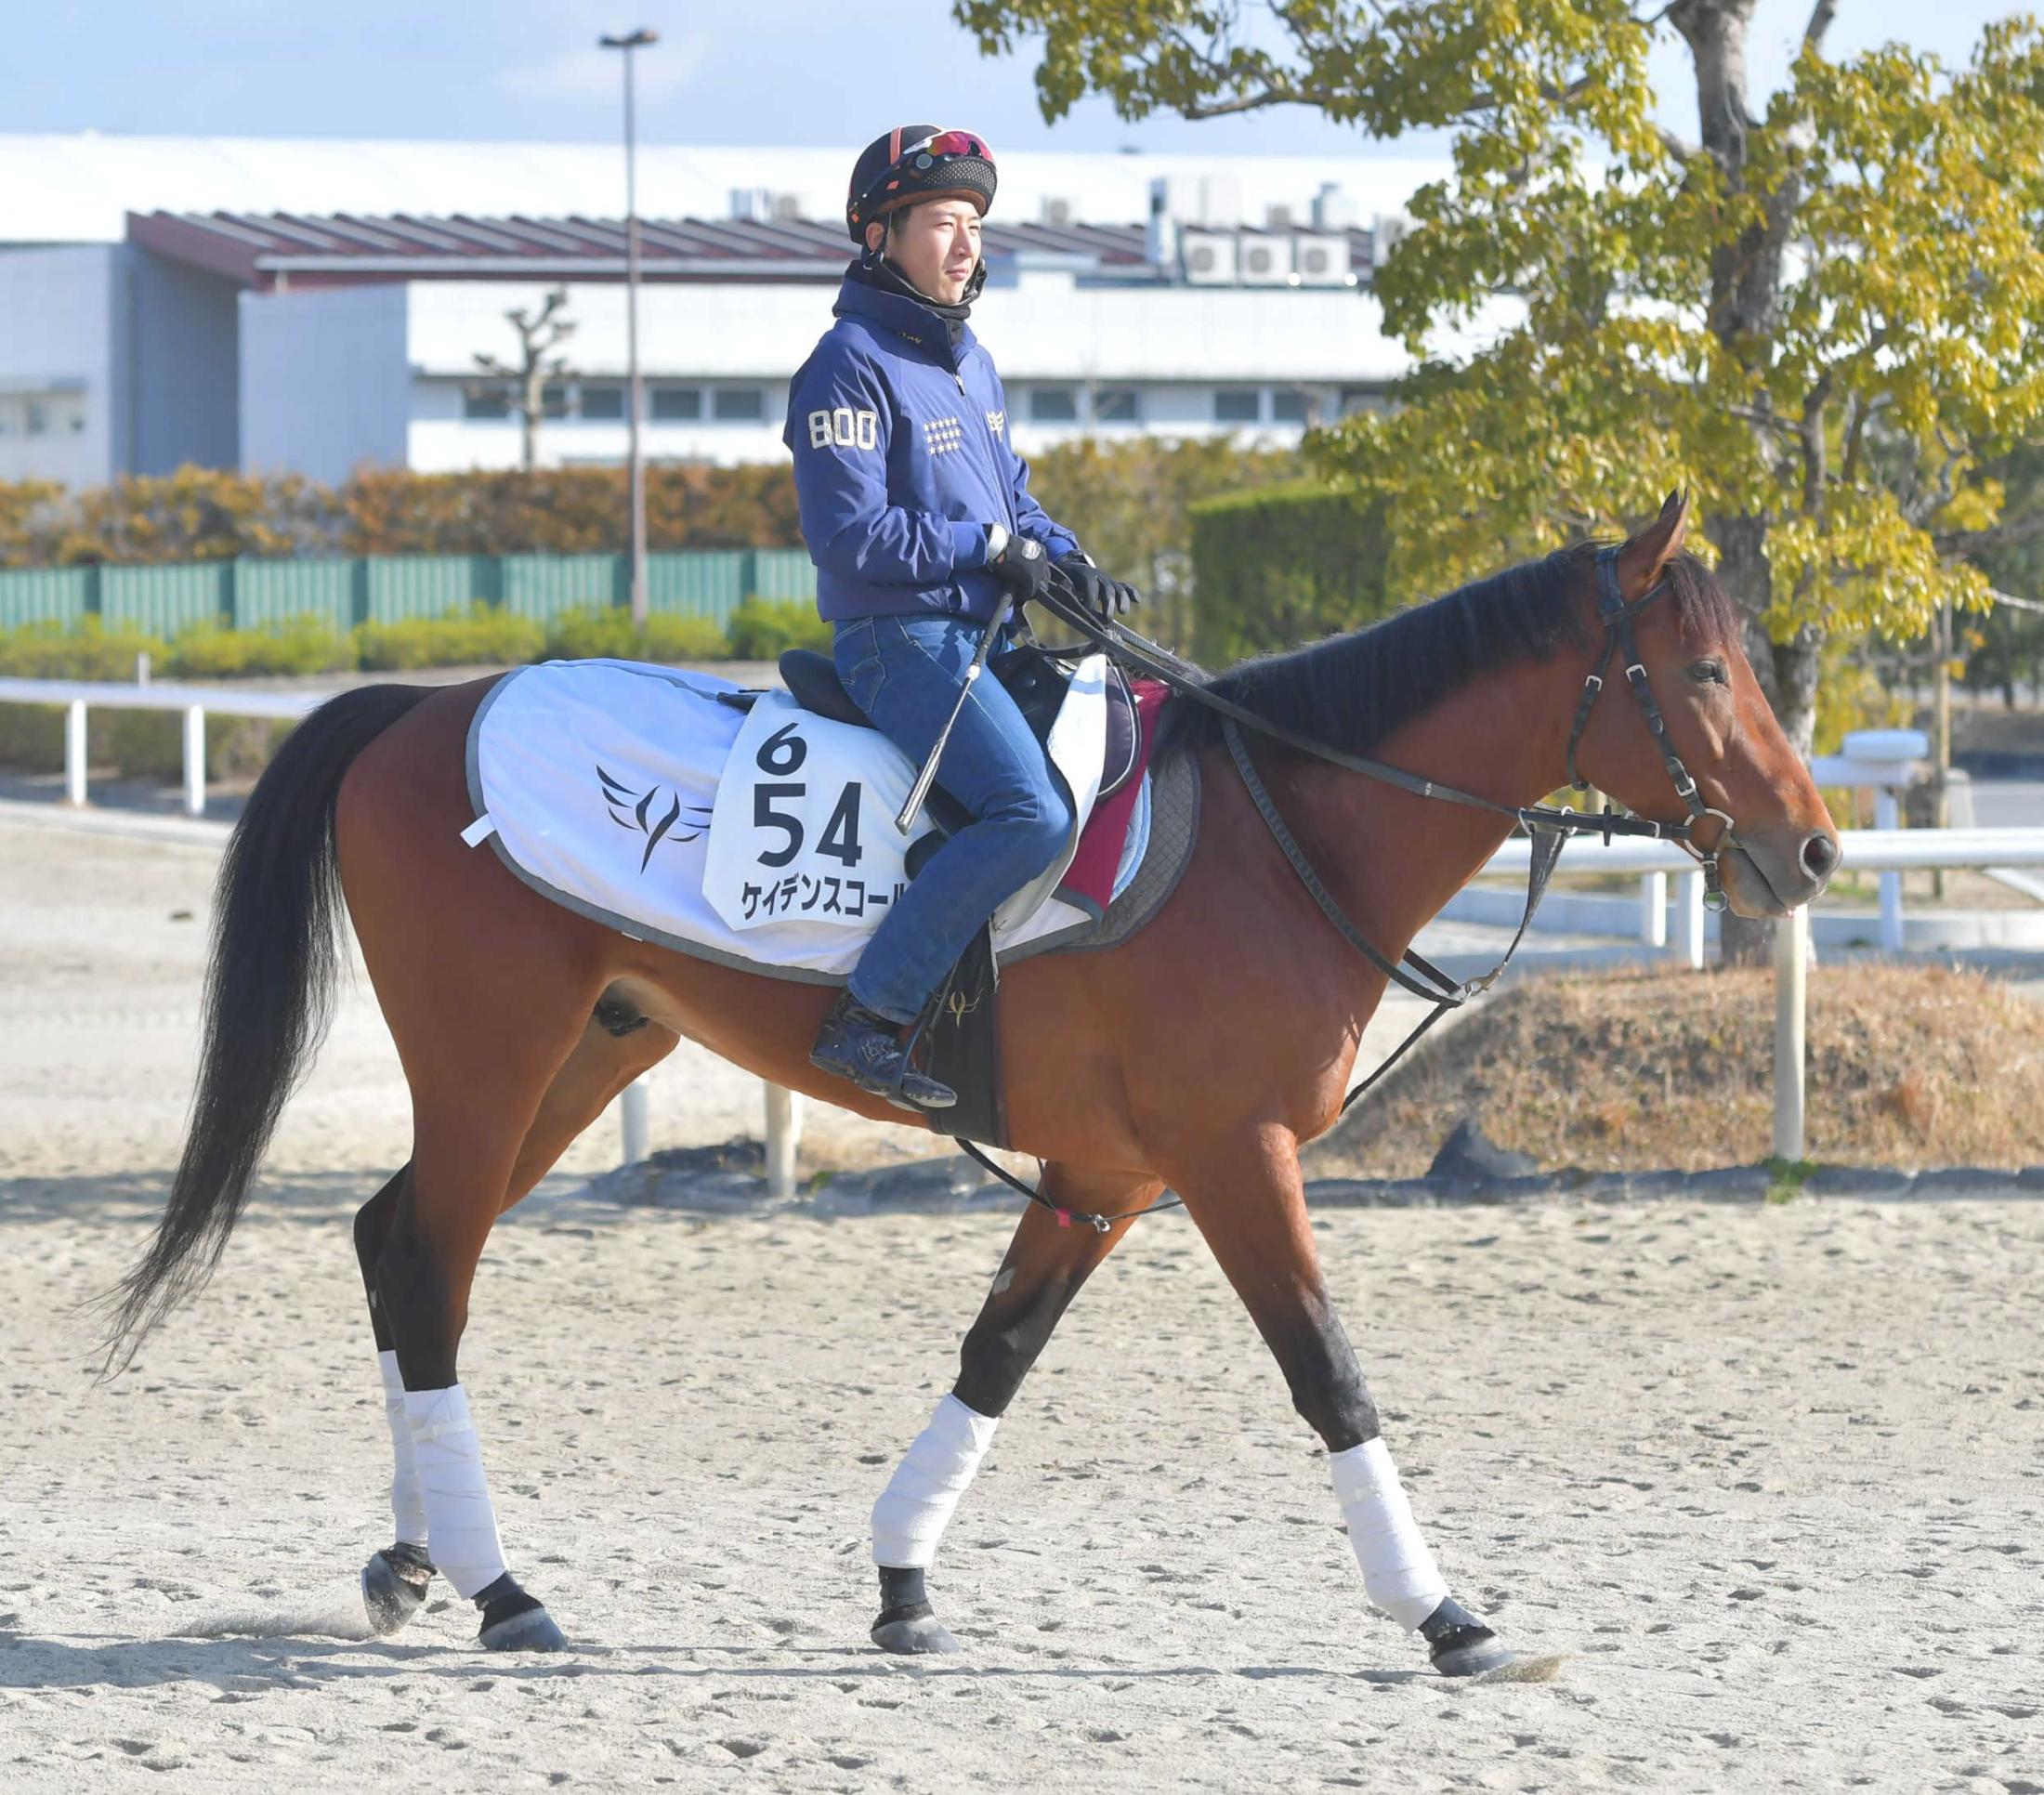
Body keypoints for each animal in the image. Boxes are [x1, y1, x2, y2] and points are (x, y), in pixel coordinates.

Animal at [103, 492, 1847, 1676]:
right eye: (1702, 673)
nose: (1815, 849)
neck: (1285, 829)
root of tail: (422, 707)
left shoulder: (1109, 1176)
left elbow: (996, 1358)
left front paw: (902, 1581)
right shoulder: (1234, 1156)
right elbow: (1330, 1374)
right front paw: (1445, 1611)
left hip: (585, 1055)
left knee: (410, 1248)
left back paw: (415, 1563)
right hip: (492, 1054)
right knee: (426, 1262)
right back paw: (502, 1586)